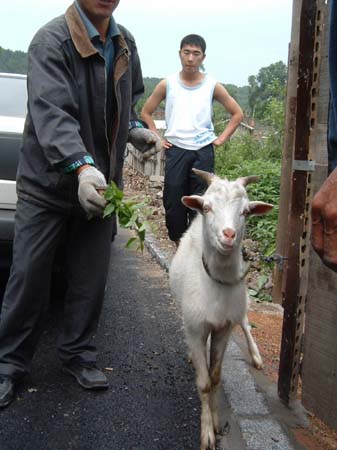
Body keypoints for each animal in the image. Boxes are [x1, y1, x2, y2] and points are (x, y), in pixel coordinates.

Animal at [169, 170, 272, 450]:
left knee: (245, 323)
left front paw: (215, 422)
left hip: (240, 304)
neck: (215, 284)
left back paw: (255, 355)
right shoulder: (195, 327)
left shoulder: (225, 327)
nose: (228, 235)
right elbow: (204, 382)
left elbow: (215, 377)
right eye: (207, 207)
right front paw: (207, 434)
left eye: (246, 211)